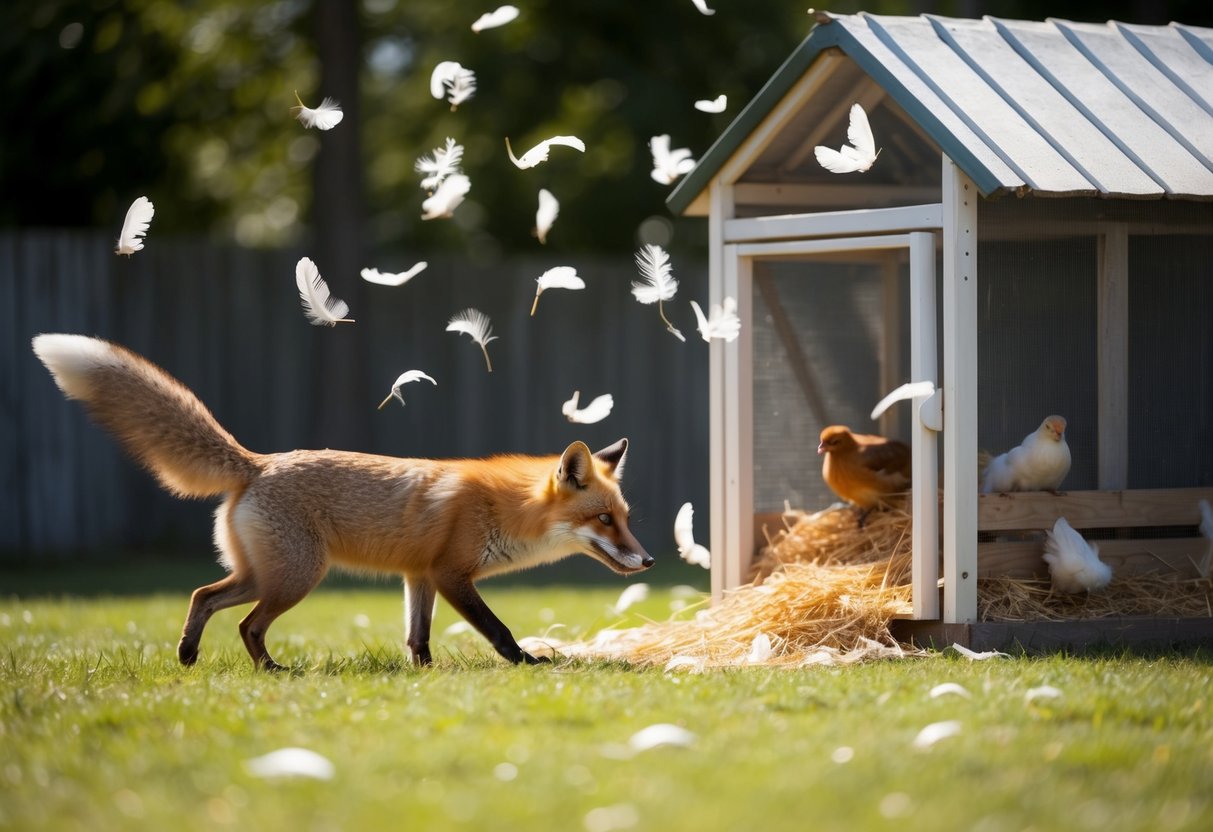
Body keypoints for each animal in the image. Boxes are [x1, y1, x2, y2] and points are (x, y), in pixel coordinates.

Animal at [31, 333, 653, 669]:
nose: (648, 560)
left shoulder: (419, 576)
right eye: (603, 519)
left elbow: (417, 637)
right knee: (246, 624)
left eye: (624, 518)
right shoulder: (451, 574)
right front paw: (526, 663)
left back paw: (188, 656)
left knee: (203, 595)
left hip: (264, 574)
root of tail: (257, 462)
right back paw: (272, 671)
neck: (506, 509)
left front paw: (426, 676)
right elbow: (497, 629)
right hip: (296, 578)